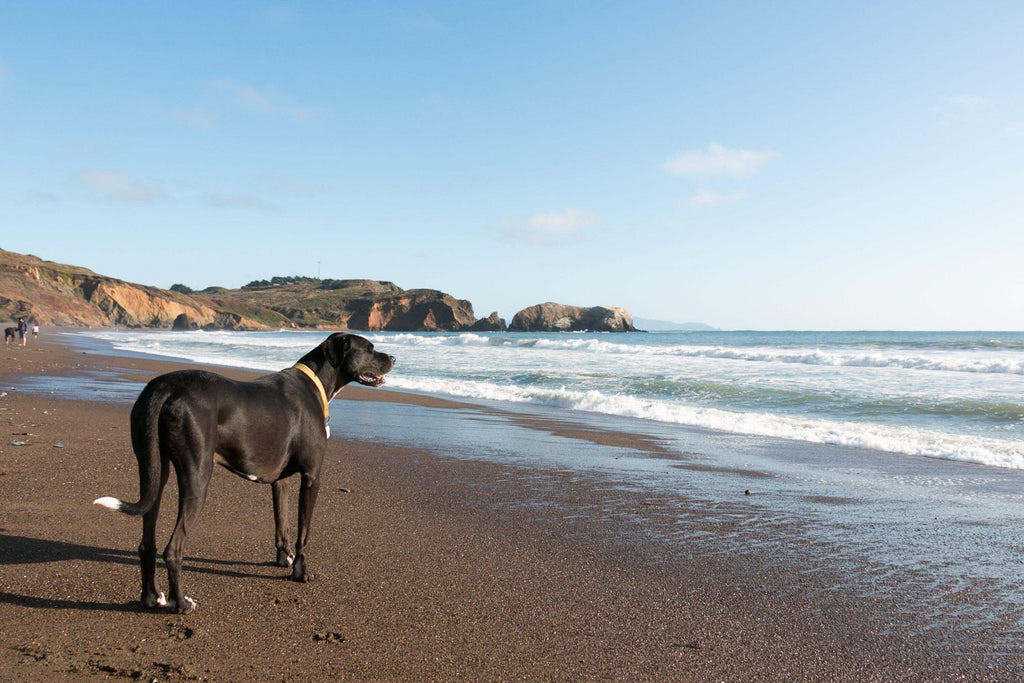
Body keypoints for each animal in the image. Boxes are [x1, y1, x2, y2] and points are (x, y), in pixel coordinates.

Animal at [93, 331, 395, 614]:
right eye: (369, 348)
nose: (393, 358)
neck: (316, 382)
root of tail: (164, 387)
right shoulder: (312, 477)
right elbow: (303, 533)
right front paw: (301, 571)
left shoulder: (281, 481)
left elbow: (282, 523)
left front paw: (283, 559)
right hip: (197, 476)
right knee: (173, 549)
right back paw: (181, 603)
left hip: (153, 469)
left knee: (147, 540)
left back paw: (151, 597)